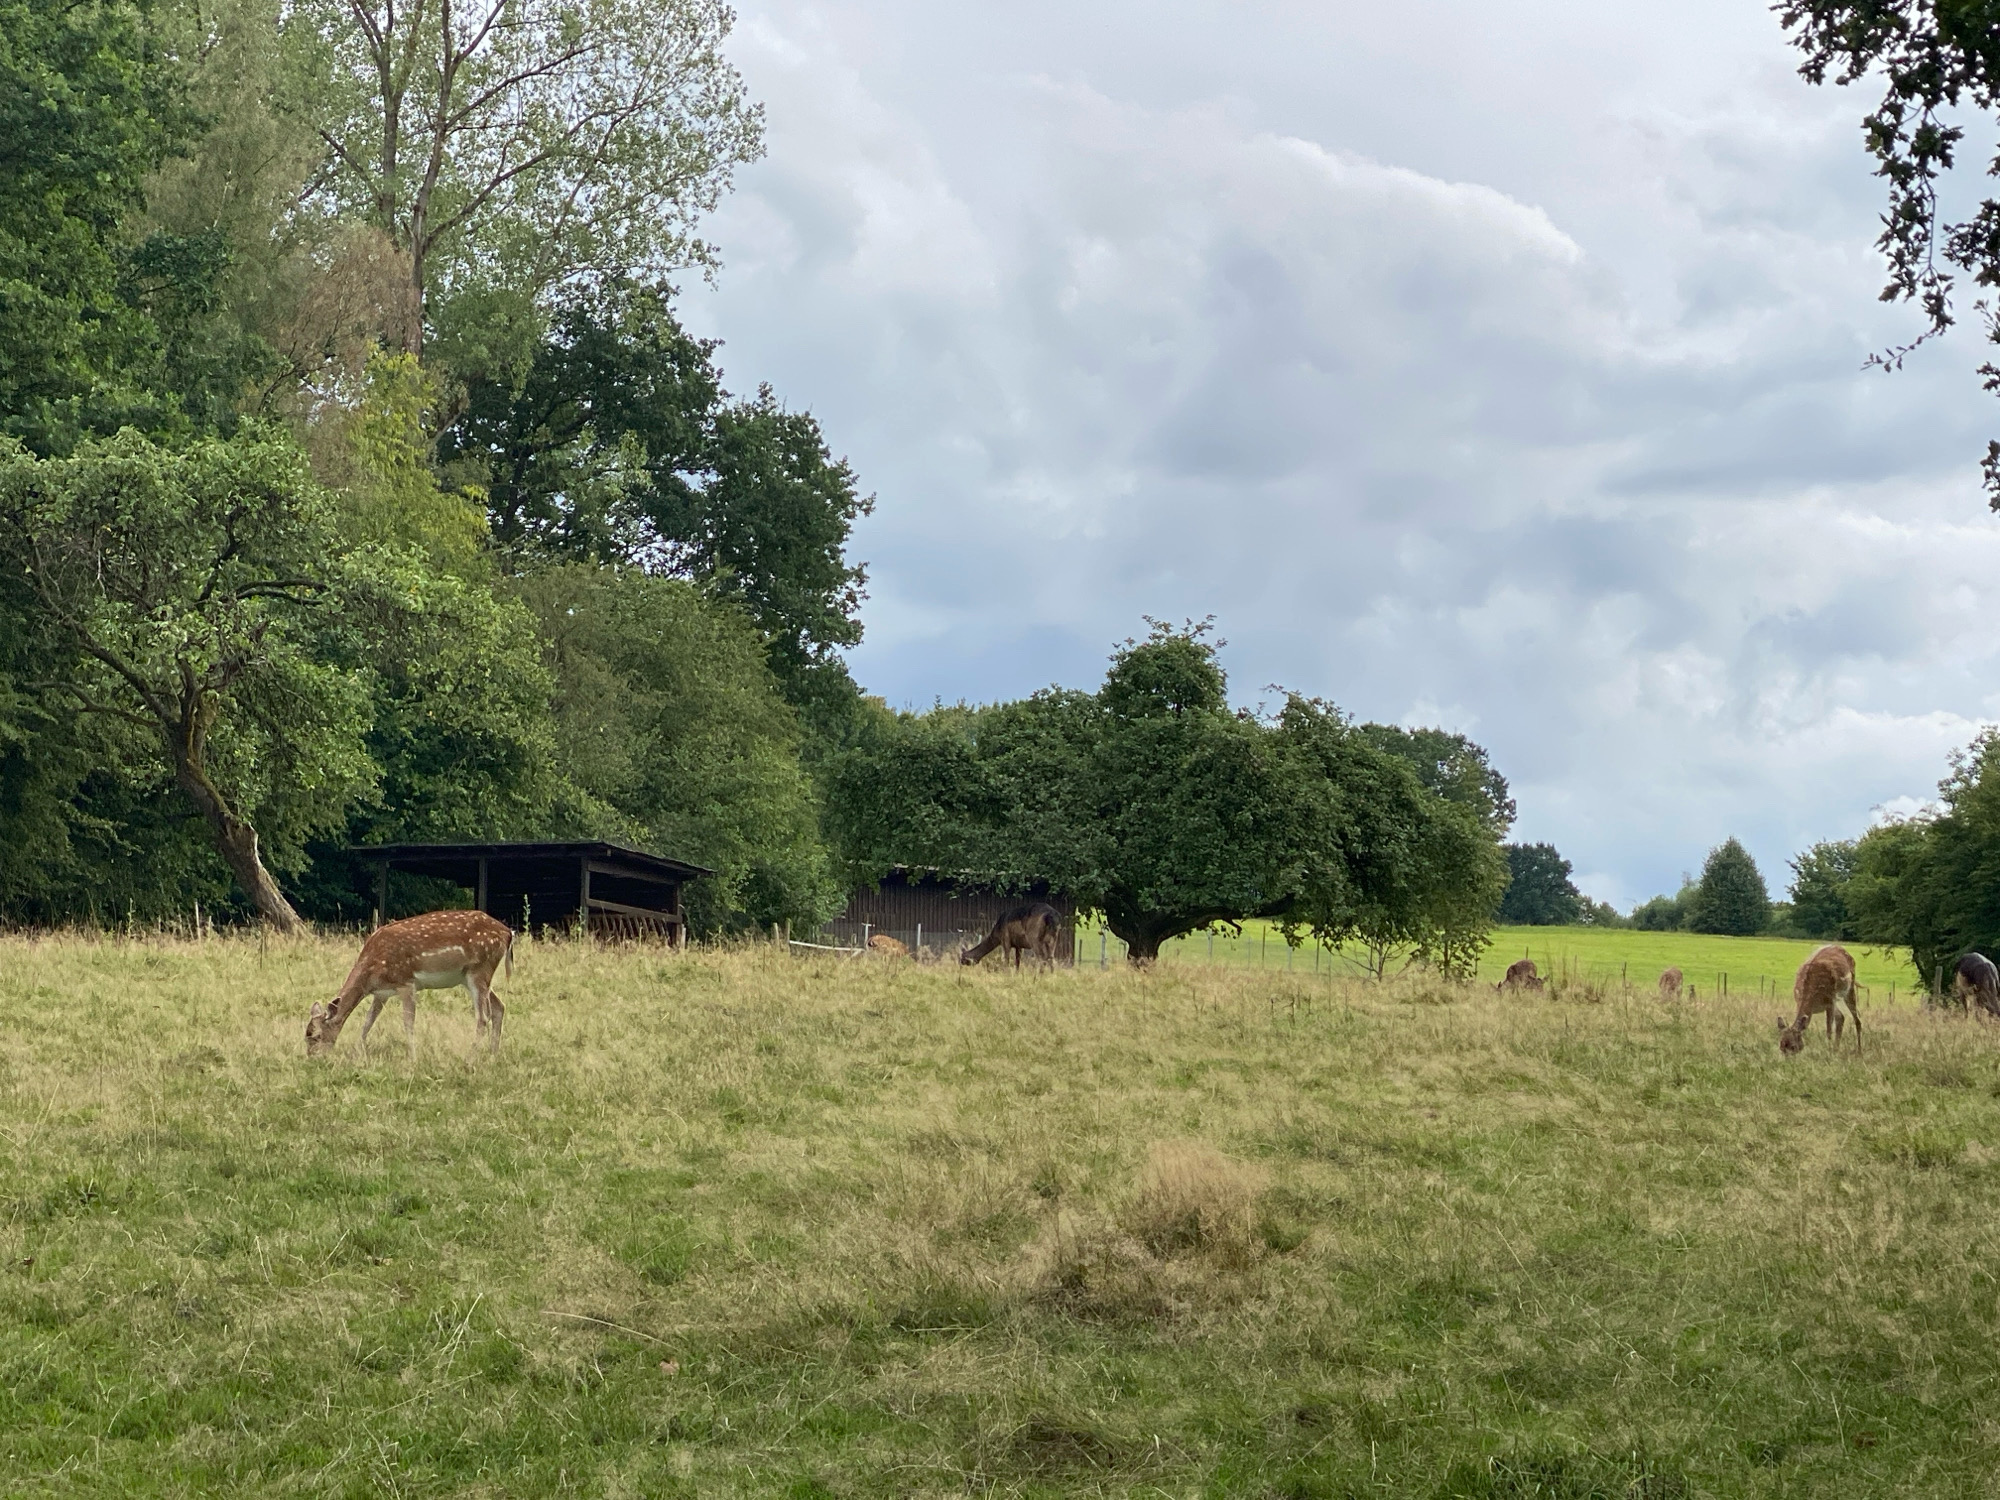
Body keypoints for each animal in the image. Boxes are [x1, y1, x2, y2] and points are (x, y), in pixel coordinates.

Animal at [306, 910, 513, 1058]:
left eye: (316, 1036)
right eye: (305, 1034)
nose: (313, 1058)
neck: (371, 972)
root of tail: (508, 933)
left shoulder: (406, 982)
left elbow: (408, 1022)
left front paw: (412, 1058)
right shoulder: (381, 993)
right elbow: (368, 1022)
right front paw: (357, 1051)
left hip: (480, 969)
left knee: (483, 1016)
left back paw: (470, 1057)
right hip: (473, 977)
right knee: (499, 1007)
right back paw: (493, 1055)